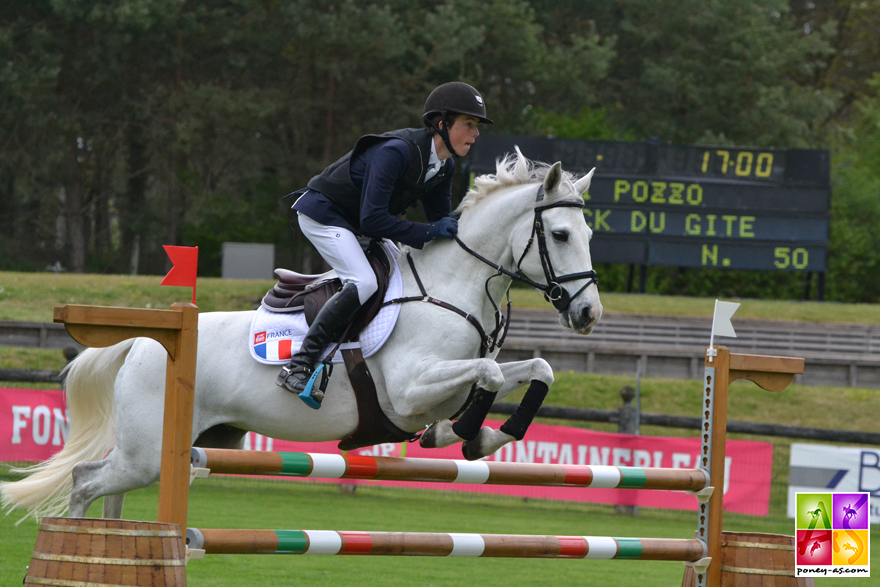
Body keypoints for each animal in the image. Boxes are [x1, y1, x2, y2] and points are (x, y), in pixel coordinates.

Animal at [0, 149, 600, 520]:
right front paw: (468, 433)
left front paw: (482, 436)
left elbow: (536, 368)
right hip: (148, 451)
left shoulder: (446, 385)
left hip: (179, 449)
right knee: (85, 480)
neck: (455, 286)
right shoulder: (410, 390)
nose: (589, 313)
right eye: (560, 234)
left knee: (104, 486)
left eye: (590, 234)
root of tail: (148, 343)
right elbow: (491, 372)